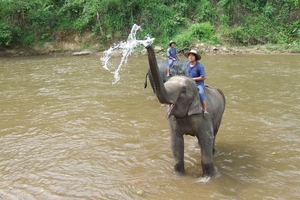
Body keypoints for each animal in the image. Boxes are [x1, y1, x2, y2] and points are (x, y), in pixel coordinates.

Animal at [145, 45, 225, 177]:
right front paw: (178, 175)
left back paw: (213, 152)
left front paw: (207, 176)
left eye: (183, 90)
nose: (147, 44)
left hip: (220, 115)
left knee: (214, 133)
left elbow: (207, 138)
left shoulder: (204, 117)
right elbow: (176, 142)